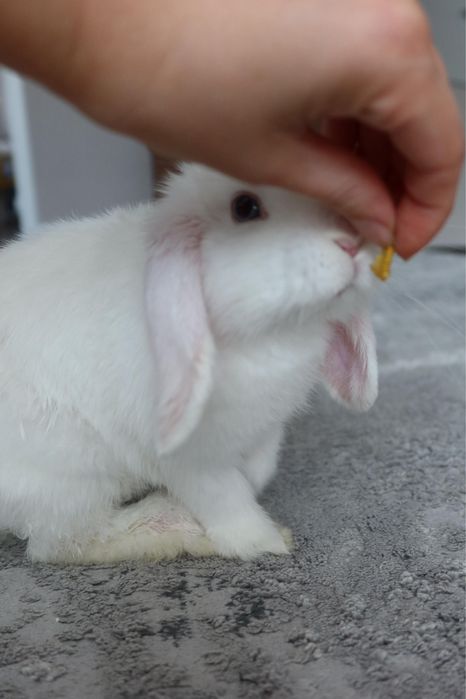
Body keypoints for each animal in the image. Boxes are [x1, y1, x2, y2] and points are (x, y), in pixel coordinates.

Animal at [0, 163, 378, 563]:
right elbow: (227, 498)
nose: (352, 243)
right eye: (246, 208)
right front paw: (266, 541)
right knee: (64, 542)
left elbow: (260, 469)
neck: (272, 337)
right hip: (72, 475)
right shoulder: (188, 459)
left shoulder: (266, 429)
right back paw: (172, 525)